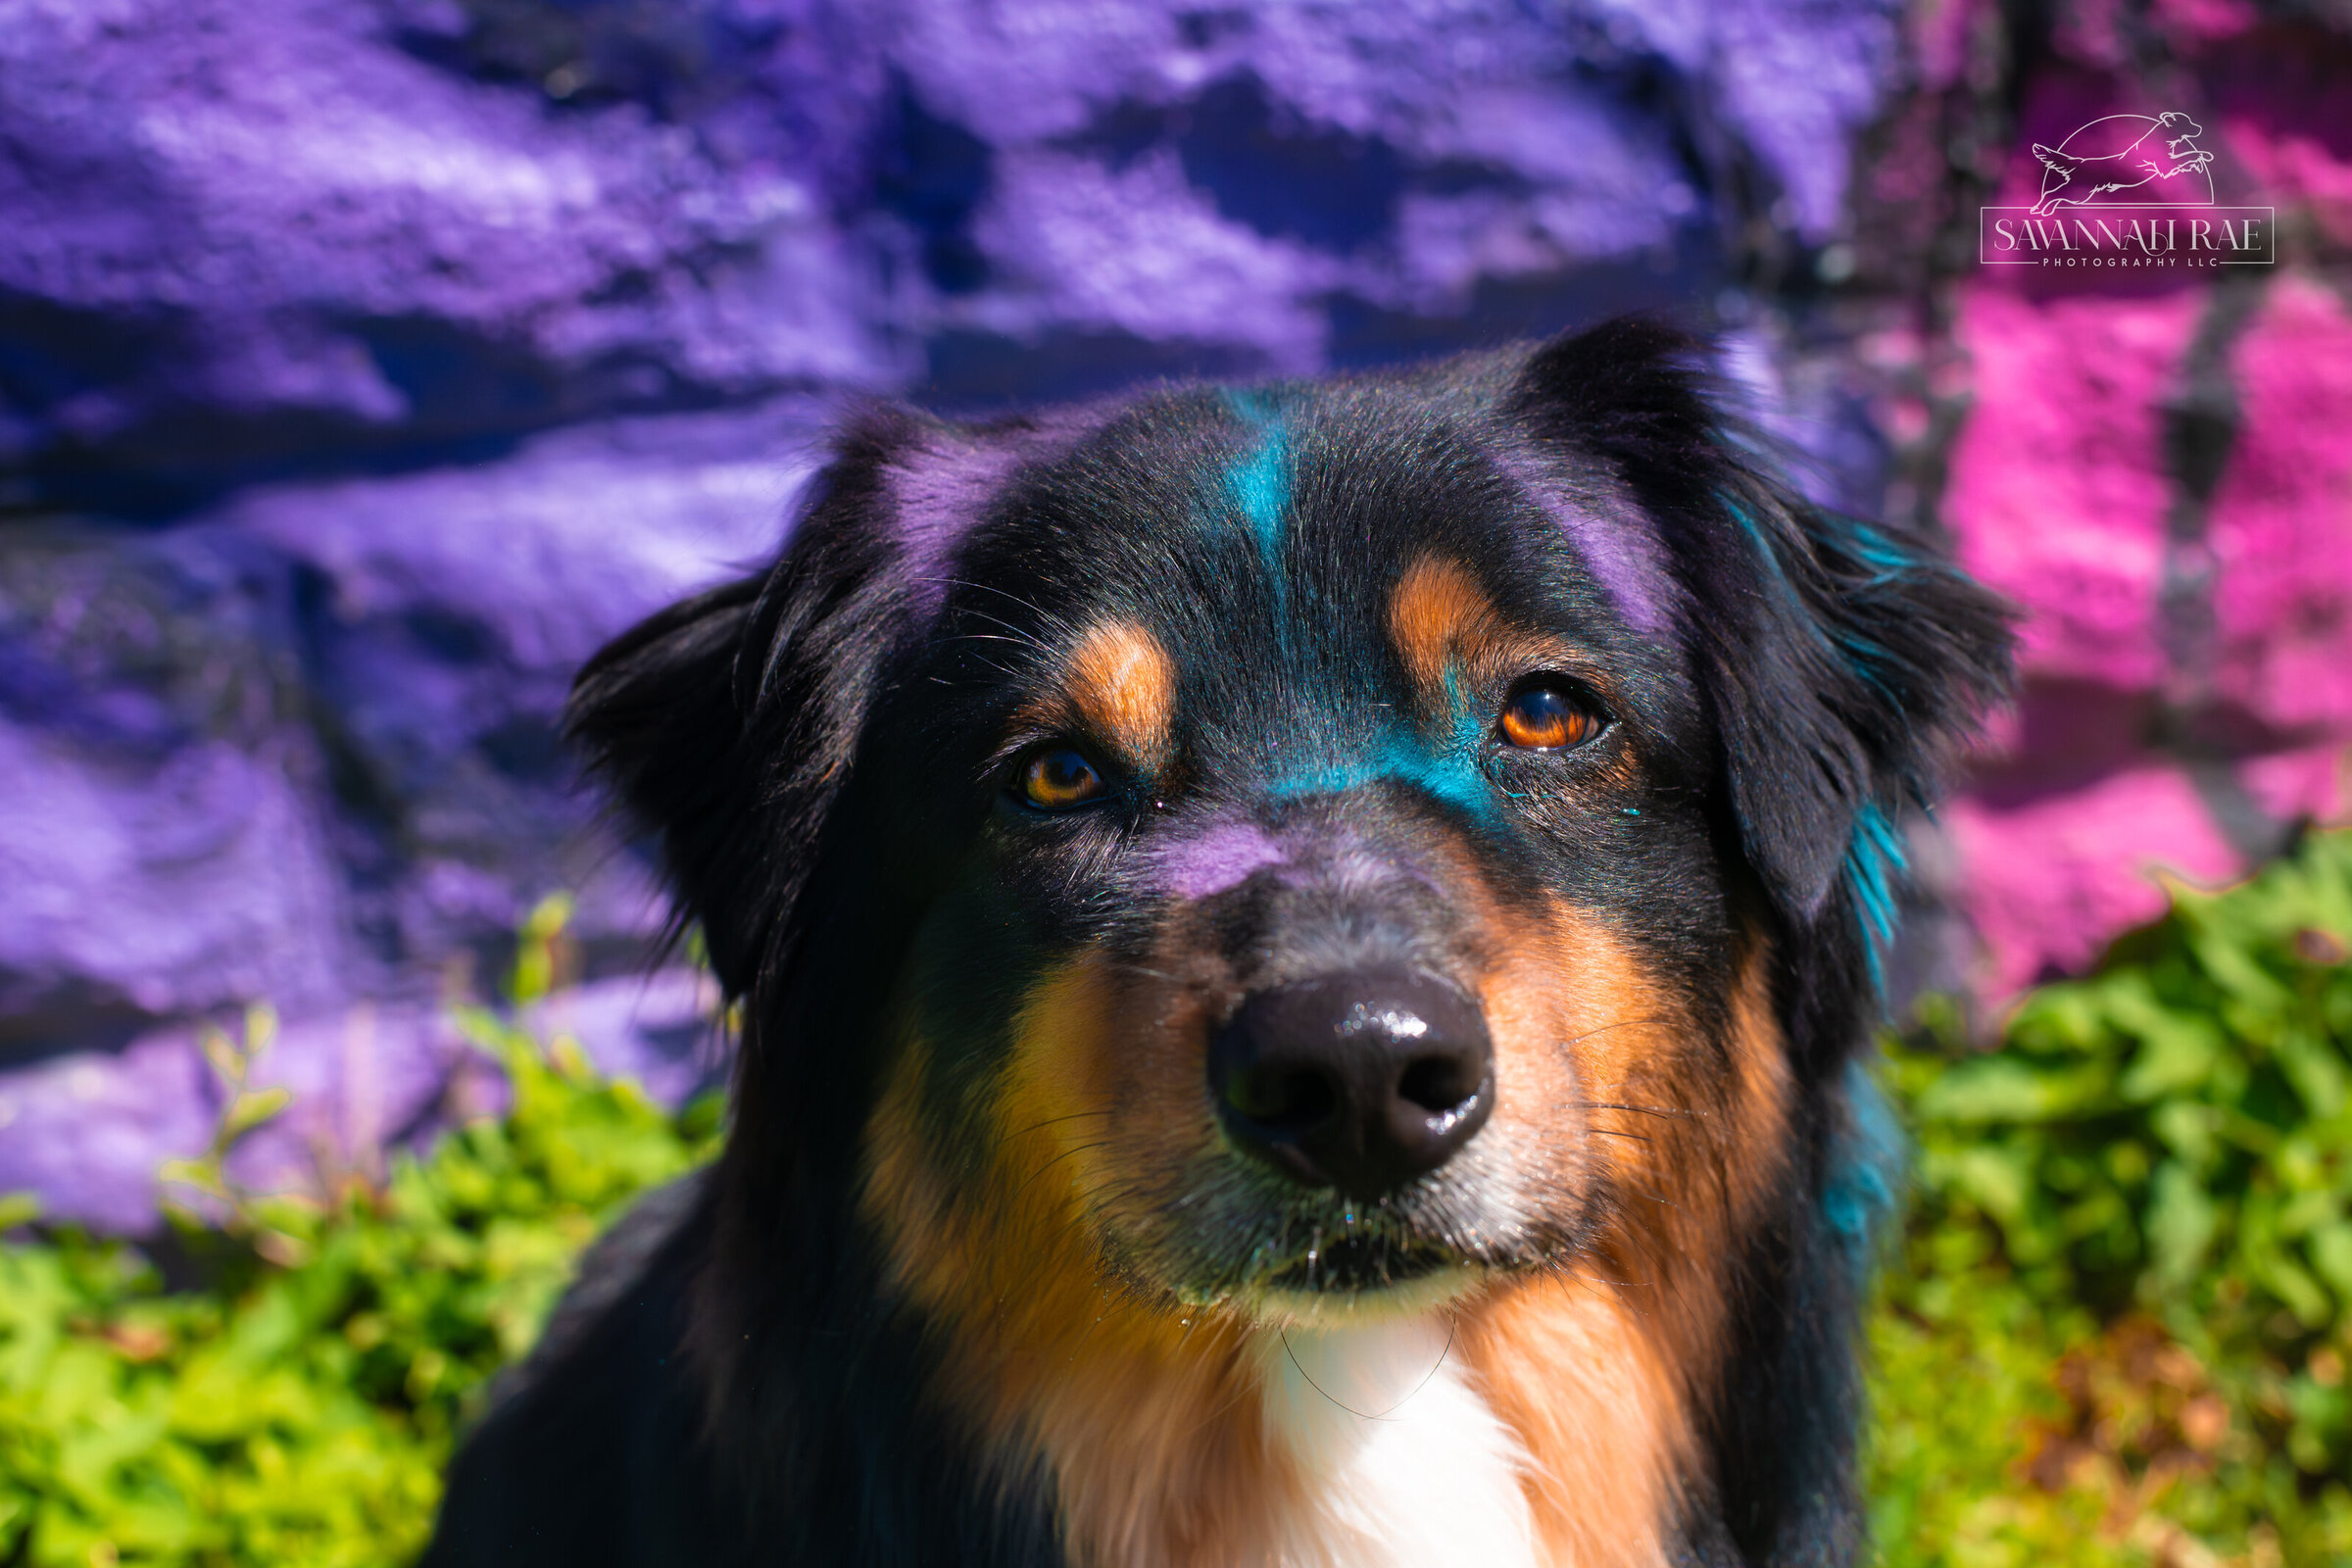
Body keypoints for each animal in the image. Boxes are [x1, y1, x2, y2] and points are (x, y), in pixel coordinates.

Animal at [2032, 110, 2211, 215]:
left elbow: (2186, 159)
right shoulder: (2164, 169)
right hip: (2082, 193)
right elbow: (2189, 155)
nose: (2201, 129)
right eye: (2187, 122)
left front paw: (2199, 164)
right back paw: (2039, 208)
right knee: (2051, 194)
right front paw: (2205, 155)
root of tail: (2082, 162)